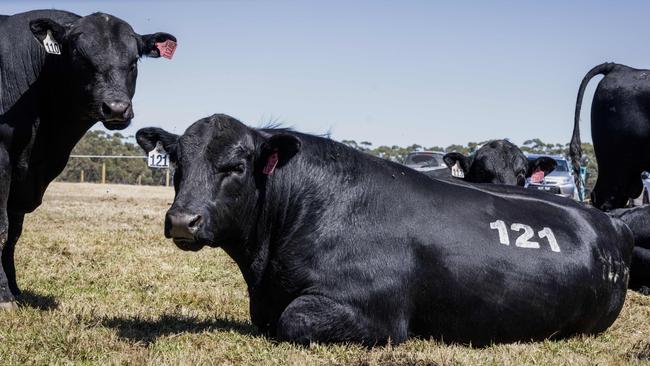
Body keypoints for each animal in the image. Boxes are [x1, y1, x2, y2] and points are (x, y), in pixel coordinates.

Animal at [0, 10, 175, 308]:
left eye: (133, 62)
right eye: (81, 58)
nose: (116, 108)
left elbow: (13, 233)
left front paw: (14, 289)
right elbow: (1, 227)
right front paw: (3, 295)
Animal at [135, 113, 632, 346]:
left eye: (236, 166)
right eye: (177, 161)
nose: (182, 220)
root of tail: (608, 223)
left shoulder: (373, 314)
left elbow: (293, 320)